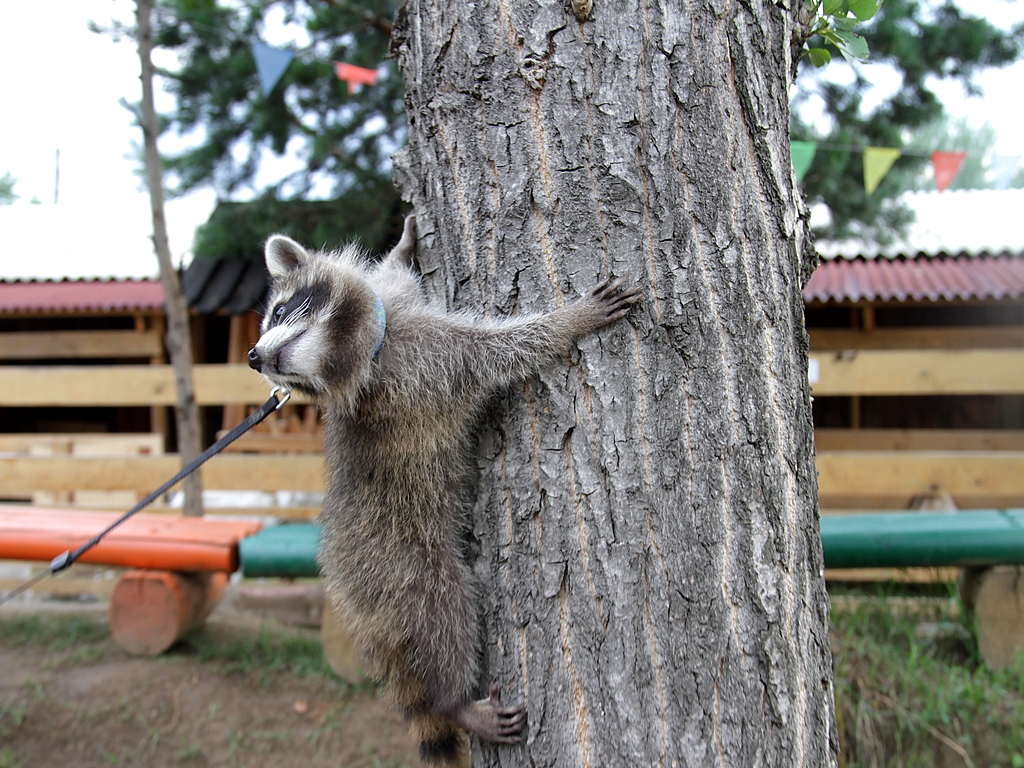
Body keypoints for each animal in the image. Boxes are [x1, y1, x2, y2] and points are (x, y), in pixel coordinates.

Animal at [245, 215, 638, 765]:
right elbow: (504, 350)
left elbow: (394, 275)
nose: (254, 357)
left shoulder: (398, 316)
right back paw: (454, 702)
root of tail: (347, 588)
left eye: (279, 311)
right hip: (400, 569)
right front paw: (569, 320)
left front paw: (403, 245)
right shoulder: (432, 365)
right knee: (443, 612)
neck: (371, 339)